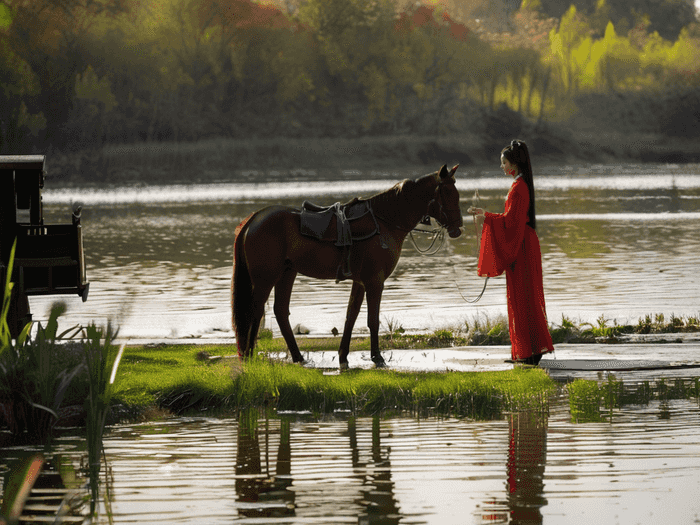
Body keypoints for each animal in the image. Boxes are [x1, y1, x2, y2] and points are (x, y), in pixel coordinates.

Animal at [232, 164, 462, 368]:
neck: (384, 222)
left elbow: (350, 317)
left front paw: (343, 356)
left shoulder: (360, 282)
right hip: (266, 278)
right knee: (256, 311)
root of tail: (255, 218)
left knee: (280, 312)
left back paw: (298, 357)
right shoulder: (375, 281)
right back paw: (250, 355)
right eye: (447, 192)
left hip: (287, 273)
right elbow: (372, 320)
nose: (458, 227)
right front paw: (377, 357)